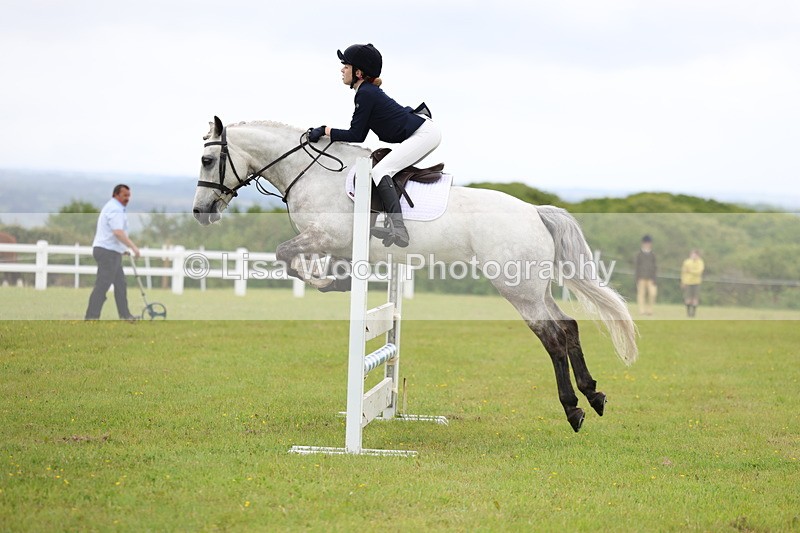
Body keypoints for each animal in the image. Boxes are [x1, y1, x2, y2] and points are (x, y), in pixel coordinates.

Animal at [192, 116, 638, 432]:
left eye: (207, 160)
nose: (201, 211)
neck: (314, 172)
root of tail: (534, 211)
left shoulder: (326, 235)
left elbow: (287, 255)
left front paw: (328, 282)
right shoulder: (331, 244)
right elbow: (303, 260)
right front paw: (335, 280)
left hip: (517, 288)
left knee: (552, 336)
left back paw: (574, 409)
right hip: (533, 286)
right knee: (568, 326)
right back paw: (593, 395)